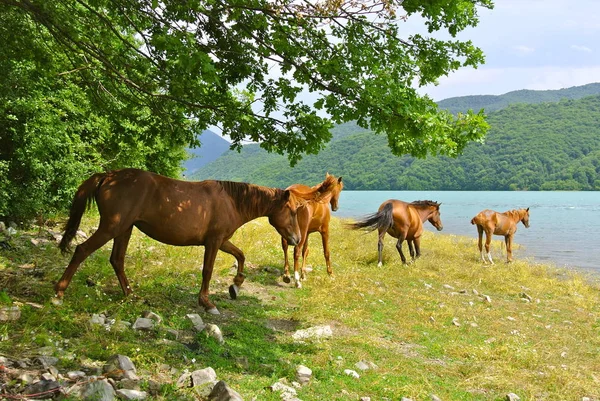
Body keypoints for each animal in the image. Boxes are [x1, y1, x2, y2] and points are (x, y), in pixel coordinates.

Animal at [55, 167, 338, 314]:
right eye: (291, 210)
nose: (297, 239)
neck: (231, 200)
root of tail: (109, 176)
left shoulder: (222, 241)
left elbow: (241, 256)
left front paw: (236, 286)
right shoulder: (213, 242)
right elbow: (207, 271)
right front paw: (207, 302)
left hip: (124, 229)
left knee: (117, 260)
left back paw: (131, 295)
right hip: (112, 227)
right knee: (82, 250)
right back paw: (59, 292)